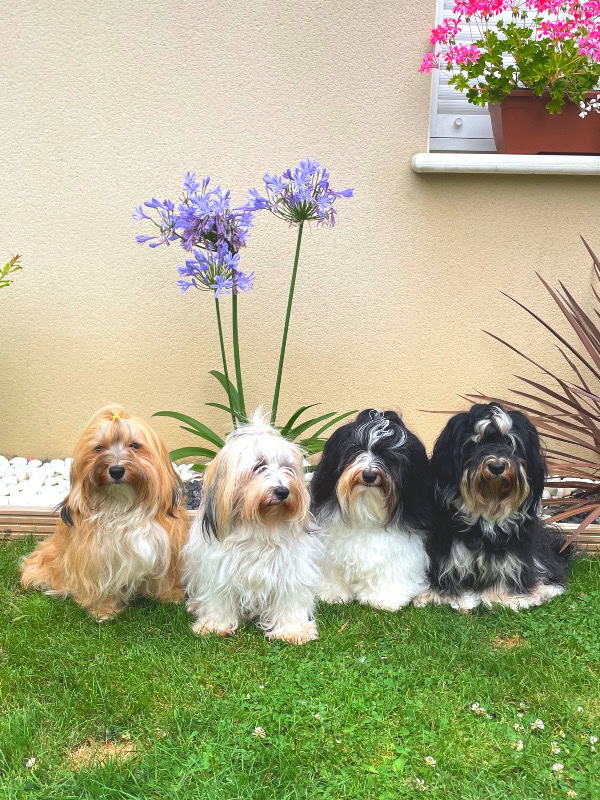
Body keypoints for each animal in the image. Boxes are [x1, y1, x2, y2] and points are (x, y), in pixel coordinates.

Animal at [20, 404, 188, 620]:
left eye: (135, 445)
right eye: (99, 448)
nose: (116, 471)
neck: (122, 503)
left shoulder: (168, 548)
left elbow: (166, 577)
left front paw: (171, 596)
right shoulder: (95, 556)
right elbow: (100, 583)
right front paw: (103, 610)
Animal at [184, 412, 322, 644]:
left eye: (288, 467)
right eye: (259, 466)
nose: (283, 491)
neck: (261, 526)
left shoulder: (290, 570)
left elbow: (290, 599)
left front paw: (292, 630)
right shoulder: (219, 569)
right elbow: (219, 598)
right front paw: (215, 626)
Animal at [310, 410, 432, 608]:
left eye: (389, 456)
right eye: (355, 449)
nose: (368, 475)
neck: (365, 511)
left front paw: (385, 598)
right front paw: (333, 593)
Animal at [412, 404, 572, 616]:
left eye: (509, 442)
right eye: (476, 443)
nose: (497, 466)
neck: (488, 507)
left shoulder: (514, 547)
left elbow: (508, 569)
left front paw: (504, 597)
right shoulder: (448, 546)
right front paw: (451, 596)